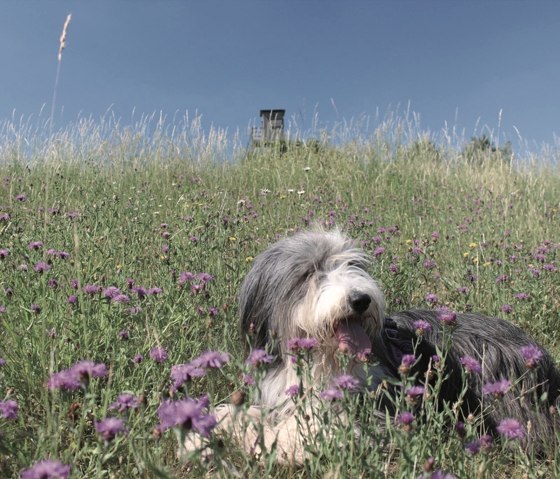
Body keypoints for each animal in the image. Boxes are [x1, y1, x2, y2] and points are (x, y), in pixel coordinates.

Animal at [185, 231, 560, 464]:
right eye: (310, 272)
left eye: (353, 265)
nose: (360, 299)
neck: (323, 361)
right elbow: (243, 412)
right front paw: (199, 433)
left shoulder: (374, 415)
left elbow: (306, 430)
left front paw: (263, 443)